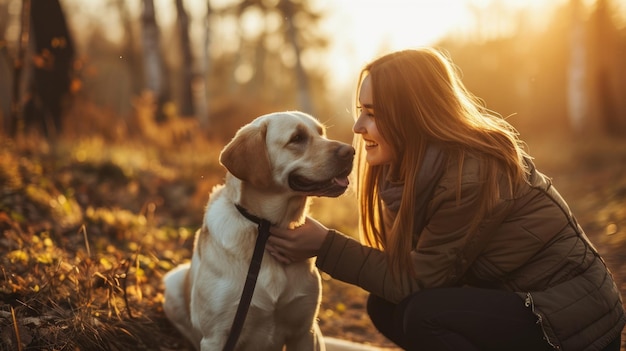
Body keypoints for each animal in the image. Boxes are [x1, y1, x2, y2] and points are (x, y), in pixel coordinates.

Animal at [163, 112, 354, 351]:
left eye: (321, 133)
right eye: (297, 138)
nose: (351, 151)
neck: (266, 228)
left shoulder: (304, 331)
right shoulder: (216, 336)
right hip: (174, 282)